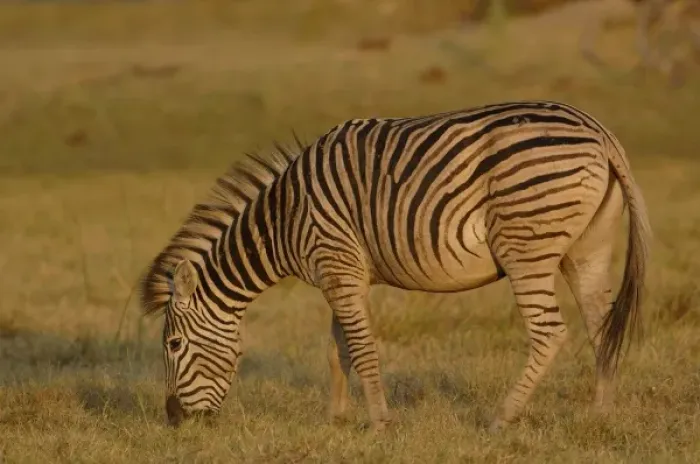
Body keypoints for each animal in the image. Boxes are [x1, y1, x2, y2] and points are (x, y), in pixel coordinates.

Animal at [140, 100, 651, 433]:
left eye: (173, 344)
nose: (175, 421)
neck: (285, 220)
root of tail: (598, 132)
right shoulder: (340, 274)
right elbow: (338, 349)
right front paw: (337, 419)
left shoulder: (338, 266)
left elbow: (362, 349)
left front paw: (381, 423)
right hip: (586, 249)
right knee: (601, 326)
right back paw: (600, 416)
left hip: (525, 245)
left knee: (550, 332)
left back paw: (500, 419)